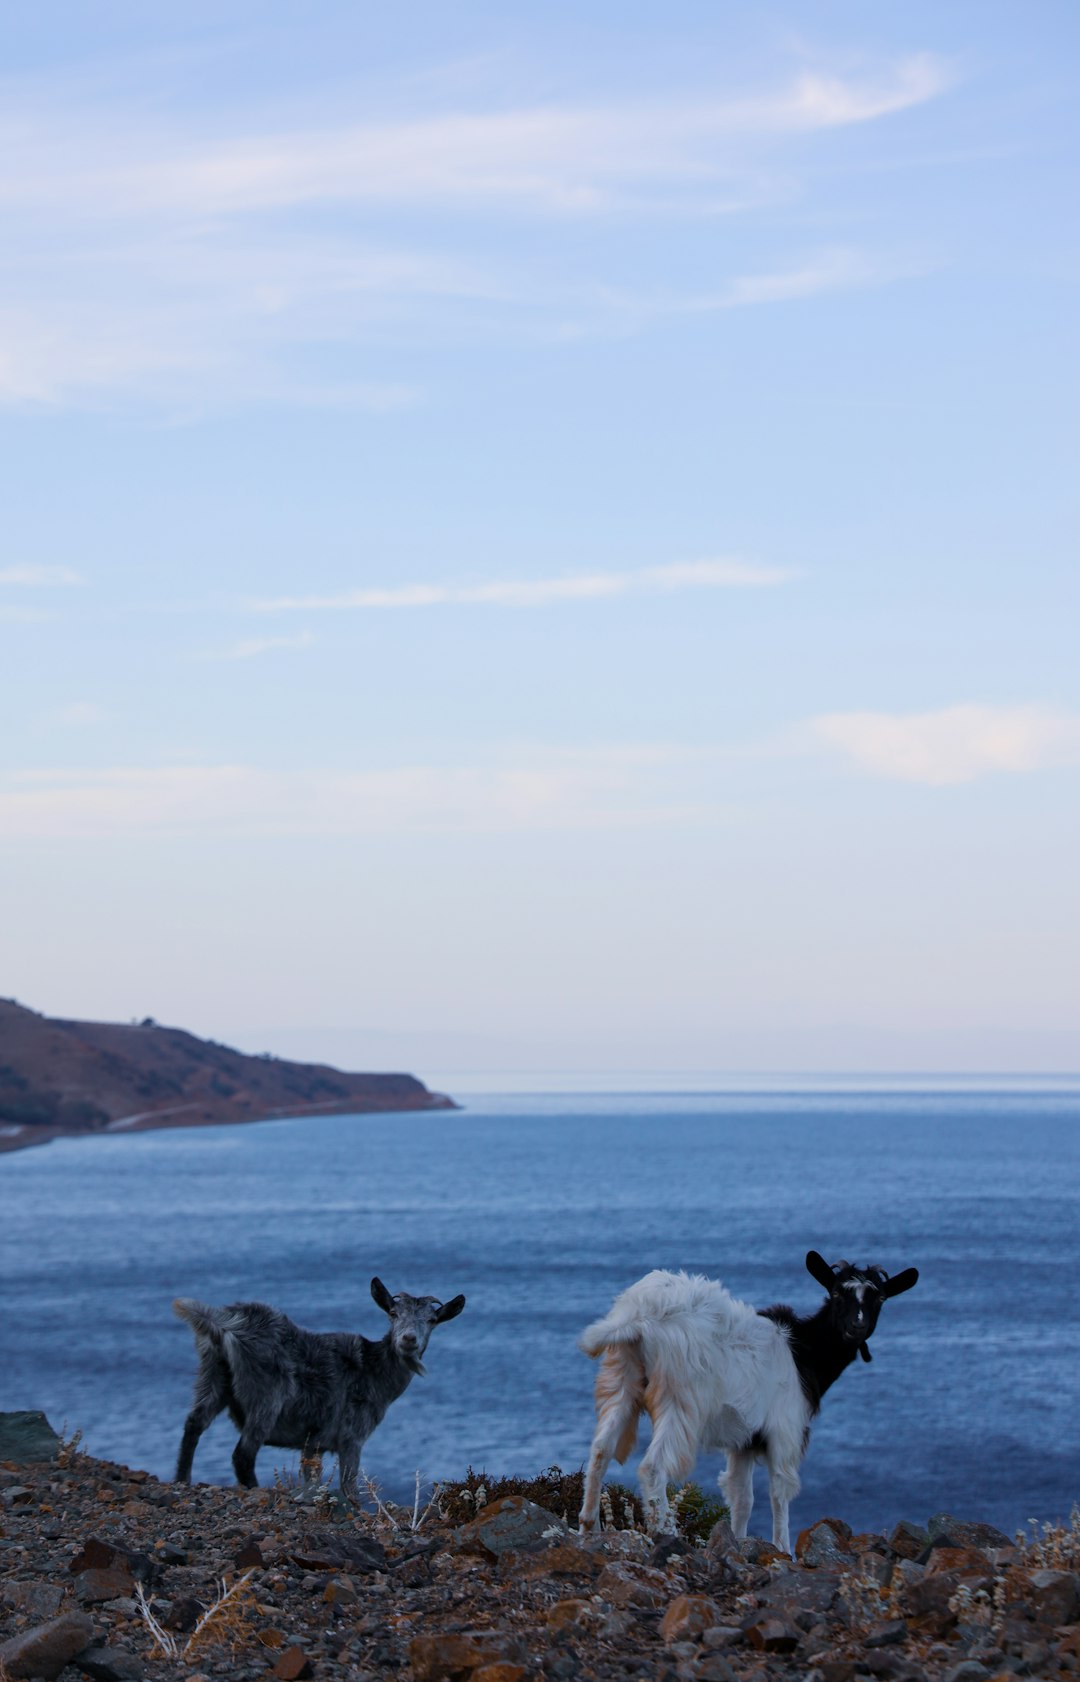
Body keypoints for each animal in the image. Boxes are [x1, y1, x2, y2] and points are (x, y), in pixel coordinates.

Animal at [172, 1271, 464, 1500]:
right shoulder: (351, 1435)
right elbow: (349, 1485)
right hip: (267, 1392)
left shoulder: (313, 1443)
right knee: (243, 1454)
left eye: (432, 1320)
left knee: (194, 1424)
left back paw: (181, 1480)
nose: (408, 1339)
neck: (374, 1371)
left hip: (212, 1374)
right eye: (393, 1313)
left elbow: (311, 1478)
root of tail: (225, 1323)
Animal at [575, 1251, 915, 1547]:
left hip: (622, 1377)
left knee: (601, 1448)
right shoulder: (785, 1431)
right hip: (681, 1398)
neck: (802, 1352)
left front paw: (736, 1540)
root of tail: (640, 1315)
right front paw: (782, 1548)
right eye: (835, 1293)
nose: (856, 1326)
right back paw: (667, 1532)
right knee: (652, 1466)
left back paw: (589, 1526)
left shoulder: (744, 1441)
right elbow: (779, 1492)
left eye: (880, 1298)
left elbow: (742, 1498)